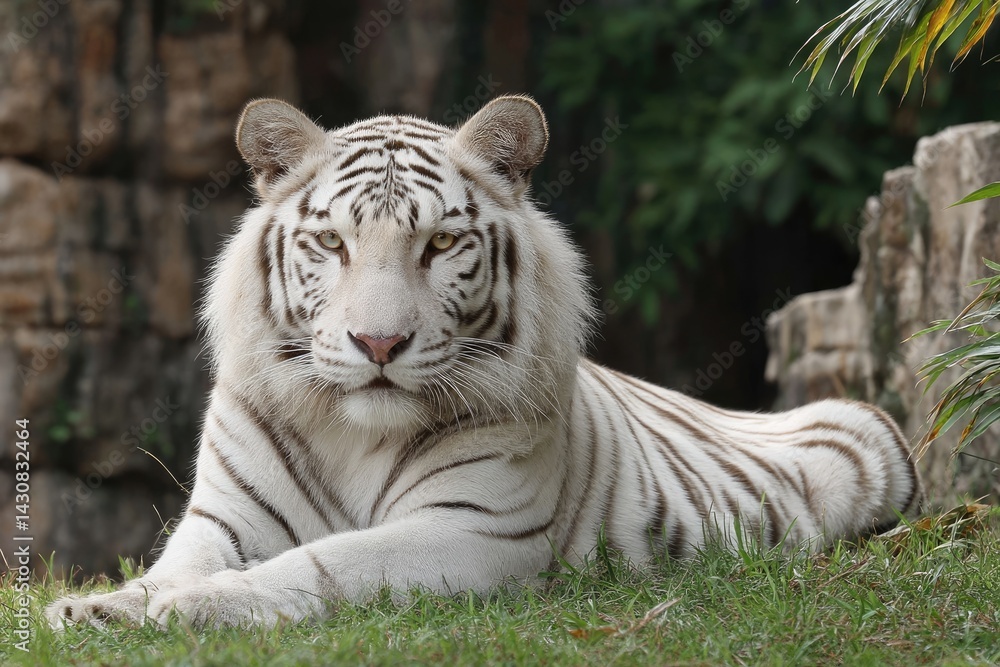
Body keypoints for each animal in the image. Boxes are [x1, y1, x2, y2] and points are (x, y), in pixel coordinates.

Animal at [46, 94, 923, 630]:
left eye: (439, 242)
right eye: (331, 241)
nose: (378, 344)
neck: (353, 433)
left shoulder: (473, 528)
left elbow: (326, 561)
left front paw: (204, 606)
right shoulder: (223, 517)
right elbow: (169, 566)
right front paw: (100, 608)